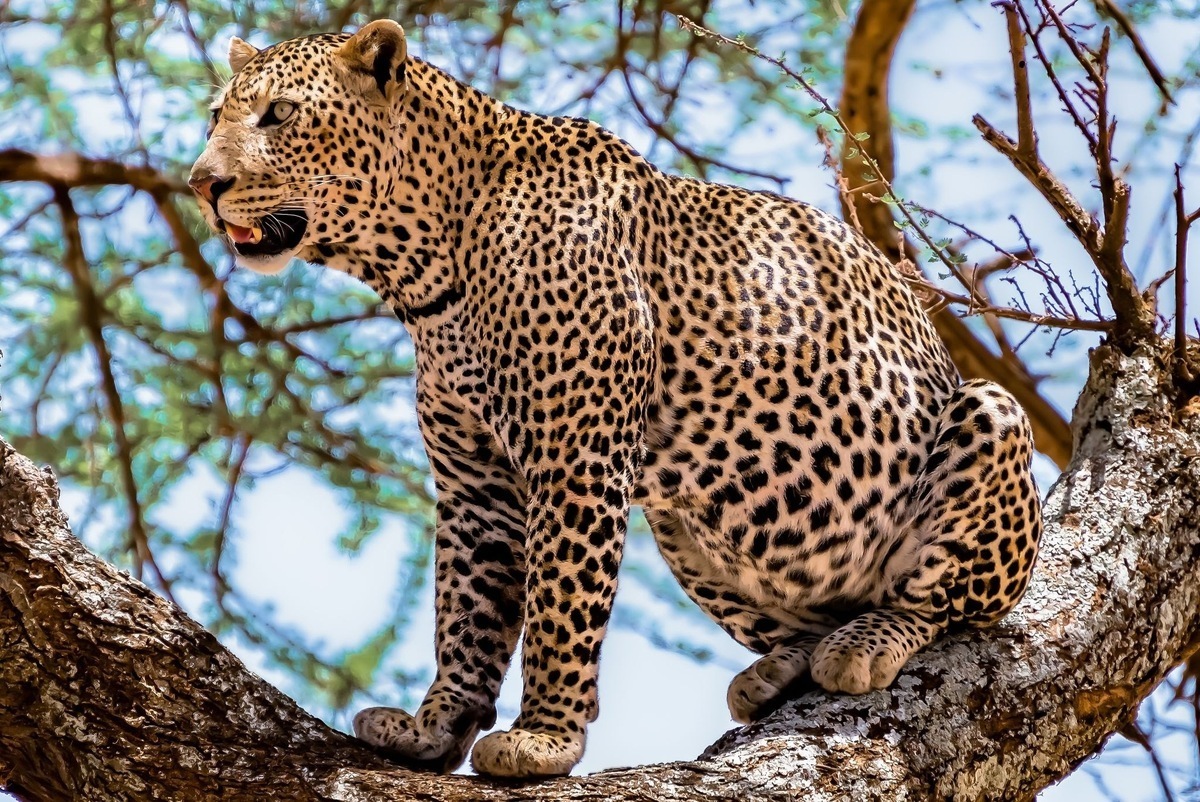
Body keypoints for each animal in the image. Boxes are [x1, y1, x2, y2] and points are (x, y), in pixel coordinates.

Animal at [187, 18, 1041, 777]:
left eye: (279, 114)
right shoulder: (475, 484)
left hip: (988, 421)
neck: (422, 270)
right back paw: (779, 669)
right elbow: (464, 610)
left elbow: (561, 605)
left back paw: (866, 642)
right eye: (216, 116)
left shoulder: (575, 458)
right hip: (684, 526)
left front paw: (542, 740)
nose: (202, 183)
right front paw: (436, 728)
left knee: (948, 601)